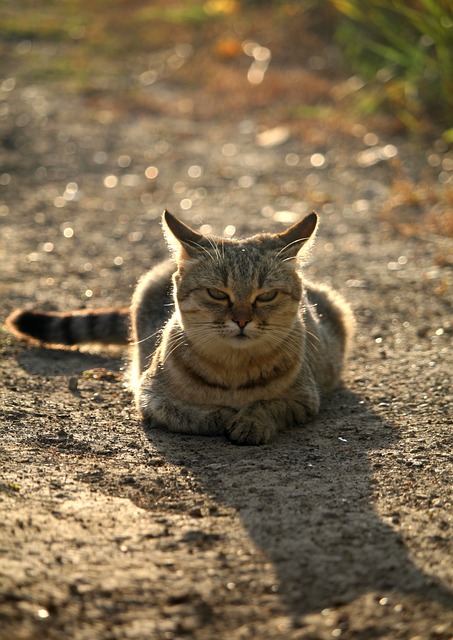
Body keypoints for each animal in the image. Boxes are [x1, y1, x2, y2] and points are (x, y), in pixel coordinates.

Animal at [5, 210, 354, 444]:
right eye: (217, 293)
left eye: (266, 296)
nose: (242, 320)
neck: (234, 371)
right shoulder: (150, 396)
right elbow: (192, 414)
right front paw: (223, 415)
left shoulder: (306, 398)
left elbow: (269, 404)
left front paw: (251, 420)